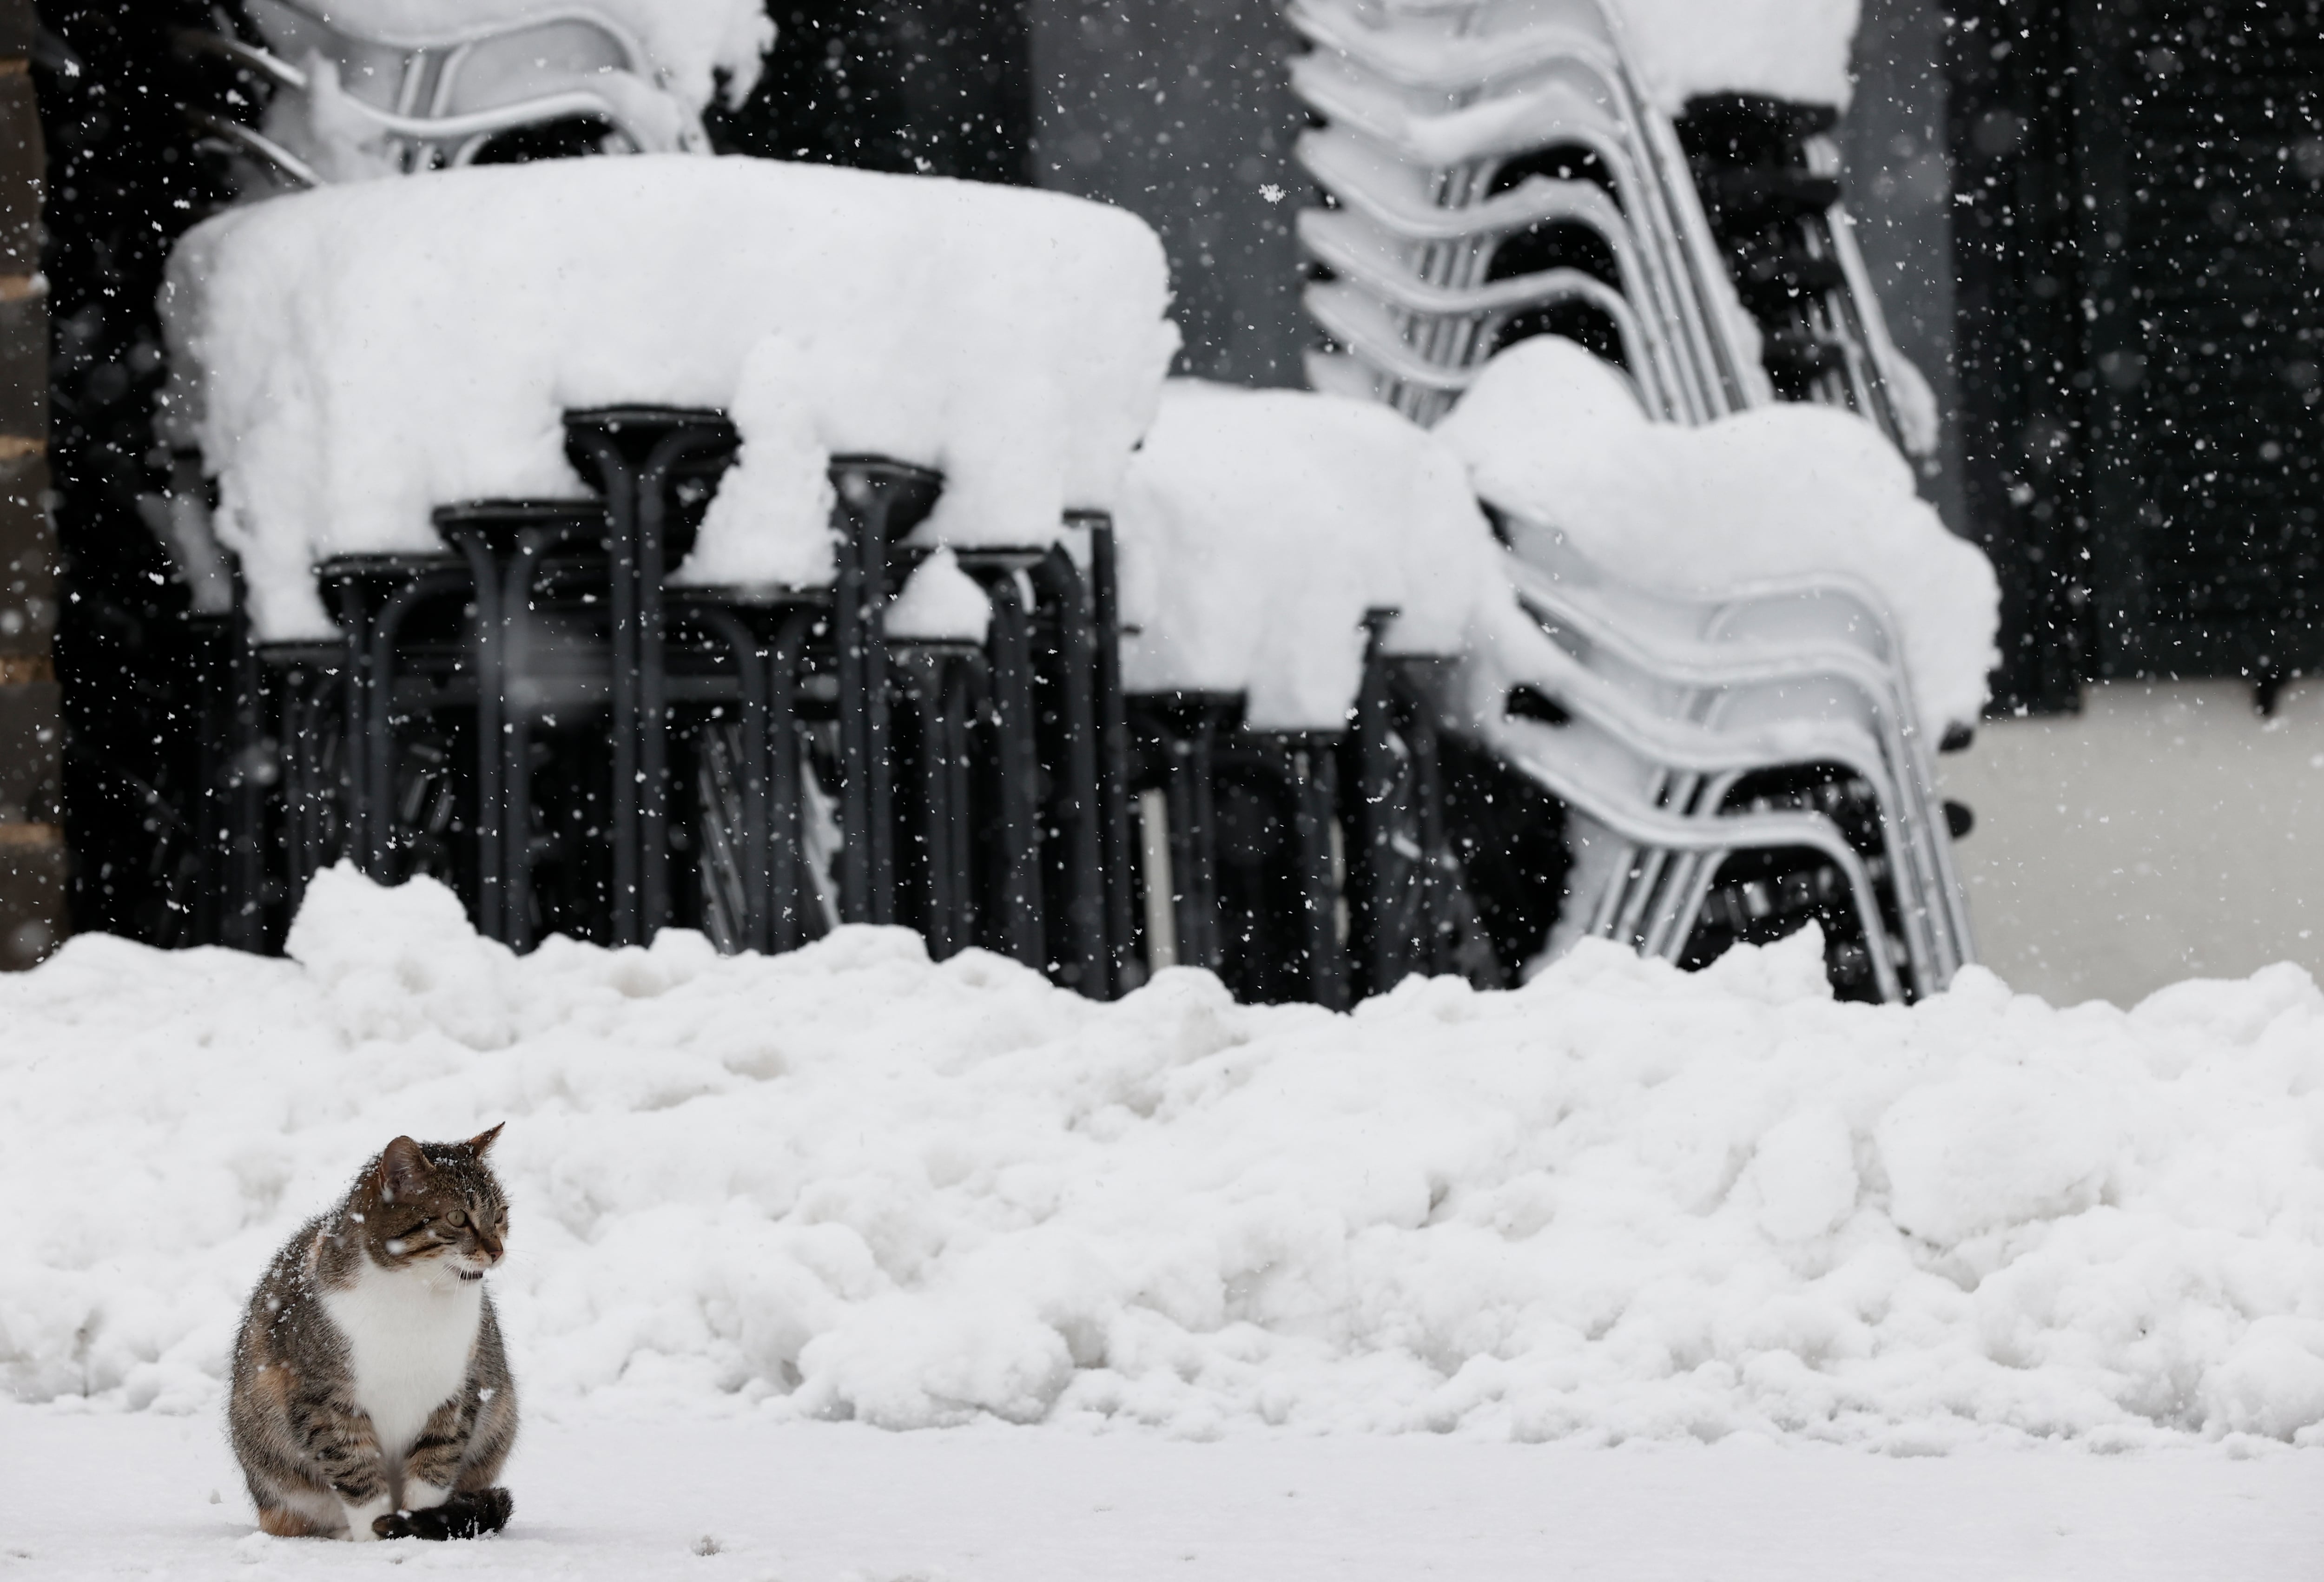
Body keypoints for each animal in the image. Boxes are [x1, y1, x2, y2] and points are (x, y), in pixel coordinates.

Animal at [226, 1129, 518, 1533]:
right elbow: (357, 1474)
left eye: (501, 1215)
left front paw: (413, 1527)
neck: (415, 1297)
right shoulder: (324, 1398)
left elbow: (434, 1468)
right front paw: (376, 1534)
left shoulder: (459, 1390)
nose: (498, 1250)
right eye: (458, 1217)